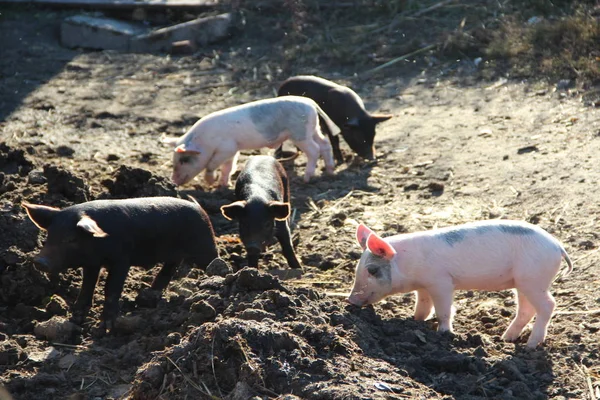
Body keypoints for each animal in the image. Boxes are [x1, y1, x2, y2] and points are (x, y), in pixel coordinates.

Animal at [24, 197, 220, 332]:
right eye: (49, 235)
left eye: (71, 239)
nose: (39, 261)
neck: (98, 246)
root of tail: (201, 208)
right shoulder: (92, 264)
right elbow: (87, 286)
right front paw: (75, 318)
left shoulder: (121, 260)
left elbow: (111, 288)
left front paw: (106, 328)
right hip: (174, 256)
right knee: (168, 270)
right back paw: (150, 294)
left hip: (205, 247)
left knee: (215, 262)